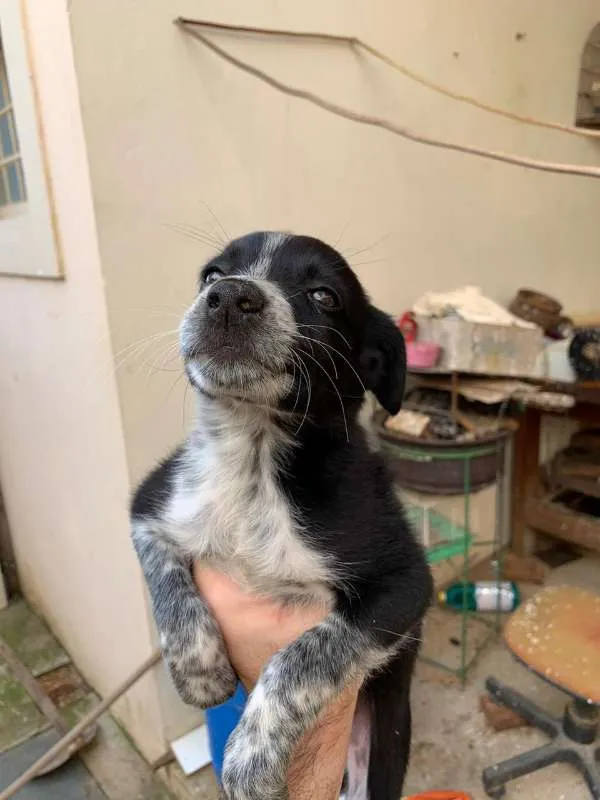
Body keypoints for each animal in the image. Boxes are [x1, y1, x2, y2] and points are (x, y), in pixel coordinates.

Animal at [130, 231, 432, 800]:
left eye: (323, 295)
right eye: (211, 274)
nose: (228, 296)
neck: (256, 458)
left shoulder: (406, 582)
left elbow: (304, 656)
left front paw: (251, 757)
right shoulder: (151, 504)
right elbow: (166, 582)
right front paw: (200, 671)